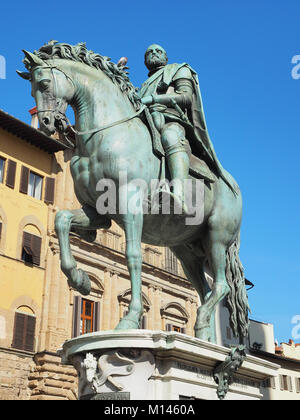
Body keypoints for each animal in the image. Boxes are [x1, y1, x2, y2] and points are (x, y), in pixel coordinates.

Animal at [17, 41, 250, 342]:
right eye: (32, 89)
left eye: (44, 83)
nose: (47, 123)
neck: (106, 135)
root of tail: (234, 188)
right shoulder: (97, 212)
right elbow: (61, 221)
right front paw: (80, 280)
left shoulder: (131, 206)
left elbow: (133, 257)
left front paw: (129, 318)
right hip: (186, 250)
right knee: (206, 290)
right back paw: (203, 334)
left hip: (217, 237)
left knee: (221, 286)